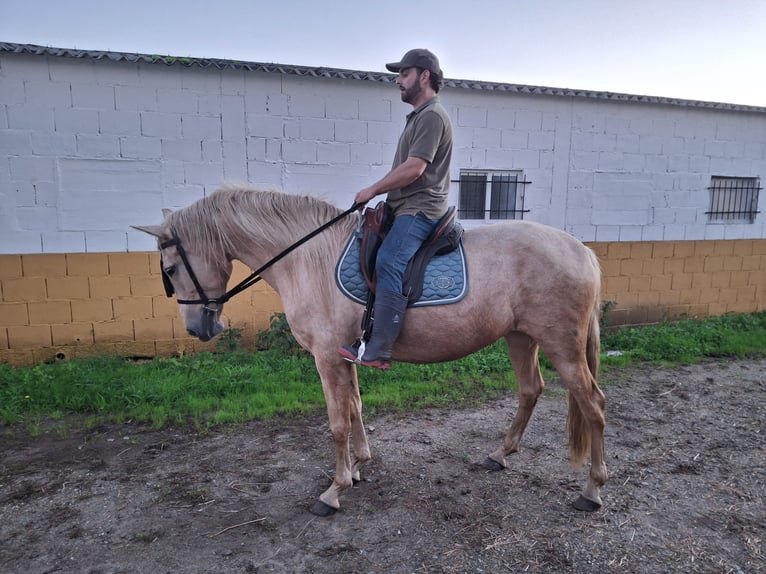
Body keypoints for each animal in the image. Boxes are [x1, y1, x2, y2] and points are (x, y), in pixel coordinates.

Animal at [134, 186, 612, 516]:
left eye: (171, 268)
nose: (199, 328)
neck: (309, 259)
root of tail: (582, 250)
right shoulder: (345, 355)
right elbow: (357, 407)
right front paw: (359, 466)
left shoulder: (326, 357)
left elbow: (337, 423)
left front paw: (335, 489)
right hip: (520, 337)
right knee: (531, 390)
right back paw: (500, 455)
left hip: (561, 345)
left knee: (593, 404)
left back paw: (592, 490)